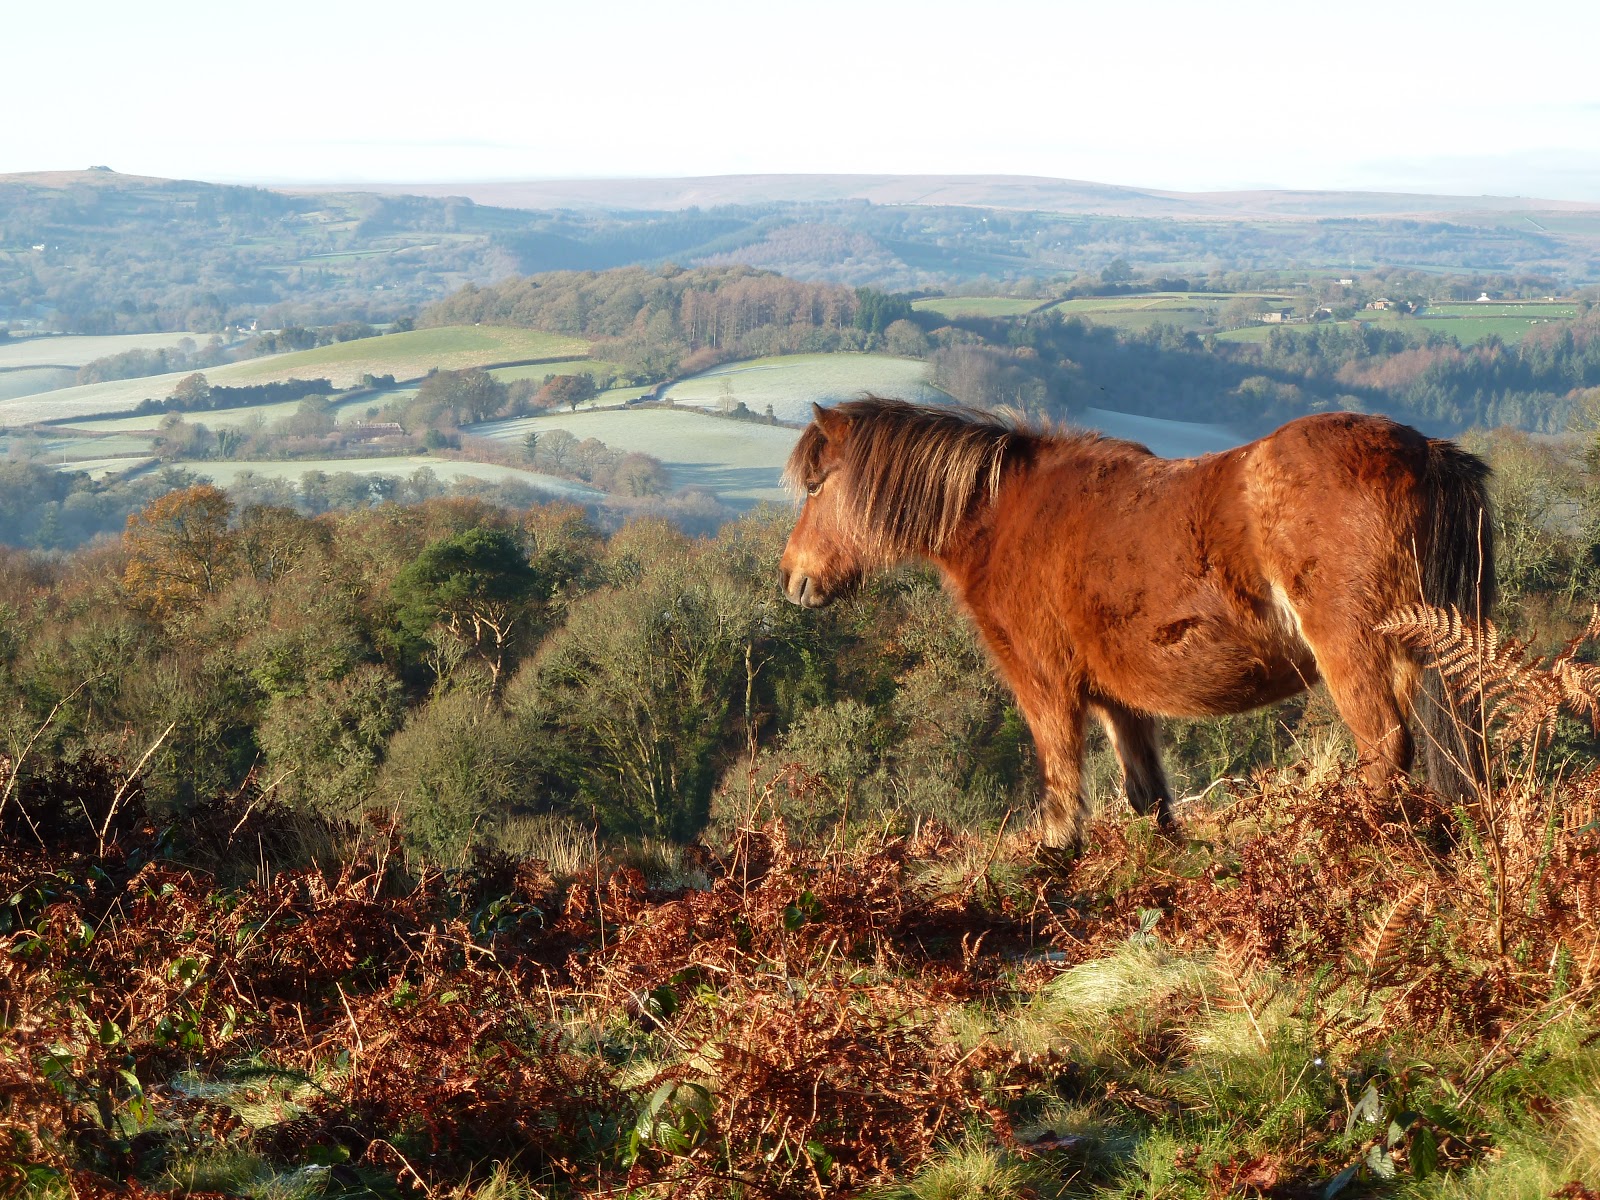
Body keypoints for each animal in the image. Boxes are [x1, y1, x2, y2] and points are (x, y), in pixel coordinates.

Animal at [779, 397, 1495, 849]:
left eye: (815, 486)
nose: (792, 578)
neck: (1004, 518)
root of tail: (1426, 452)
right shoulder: (1121, 702)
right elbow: (1148, 798)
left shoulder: (1046, 691)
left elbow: (1062, 798)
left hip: (1358, 656)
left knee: (1385, 752)